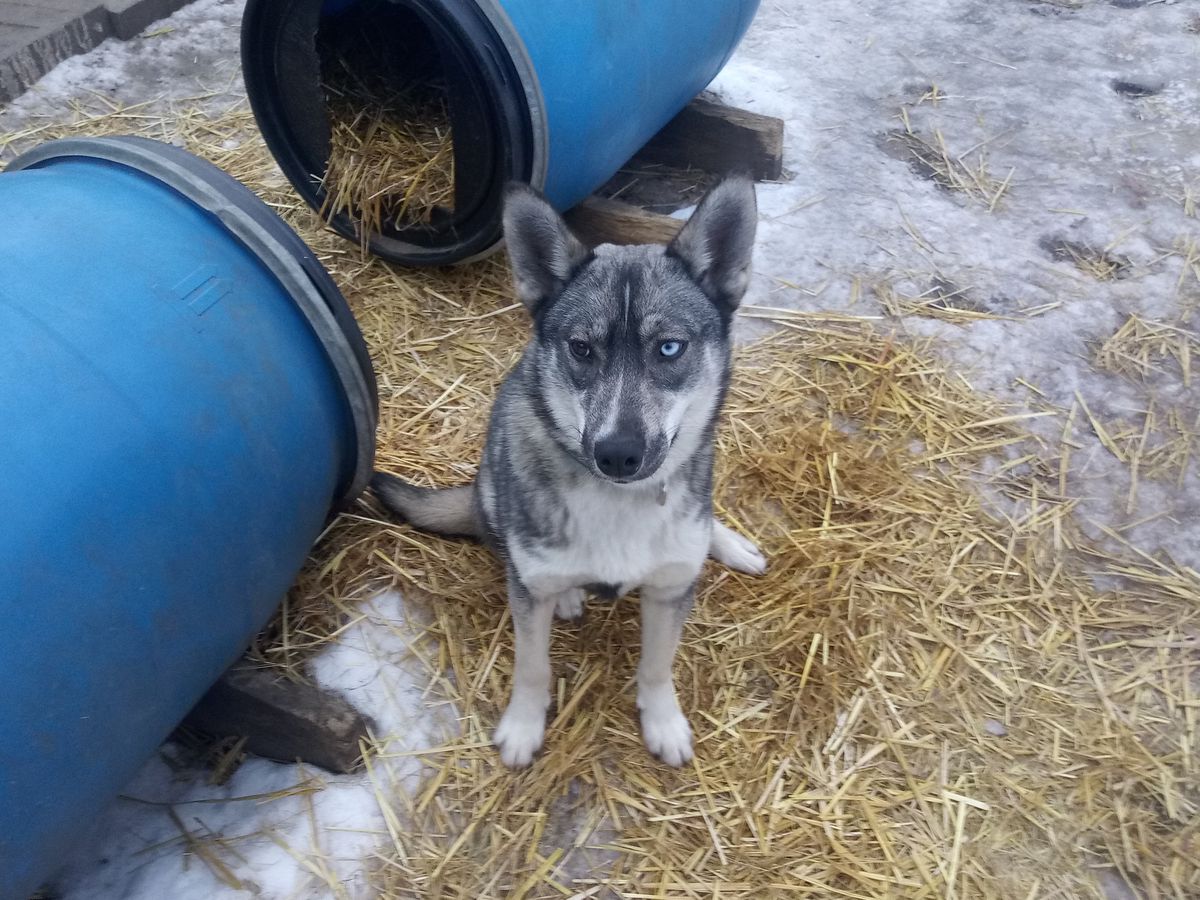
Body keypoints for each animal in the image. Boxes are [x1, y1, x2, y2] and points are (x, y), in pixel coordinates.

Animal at [374, 177, 768, 768]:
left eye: (669, 347)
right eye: (582, 349)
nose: (619, 453)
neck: (617, 500)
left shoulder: (670, 591)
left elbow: (657, 667)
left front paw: (664, 722)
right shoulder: (527, 596)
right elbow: (532, 668)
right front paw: (523, 726)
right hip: (494, 490)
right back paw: (567, 594)